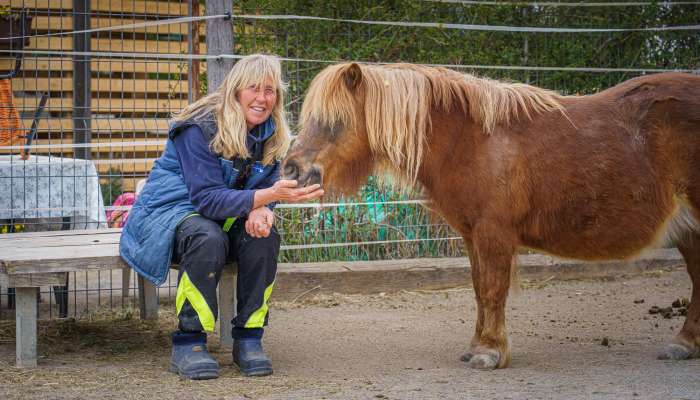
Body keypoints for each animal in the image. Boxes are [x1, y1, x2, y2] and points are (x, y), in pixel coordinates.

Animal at [282, 64, 700, 370]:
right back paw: (684, 344)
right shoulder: (472, 236)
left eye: (335, 122)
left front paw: (490, 352)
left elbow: (493, 290)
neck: (474, 141)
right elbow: (479, 289)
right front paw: (477, 346)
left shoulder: (494, 233)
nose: (291, 169)